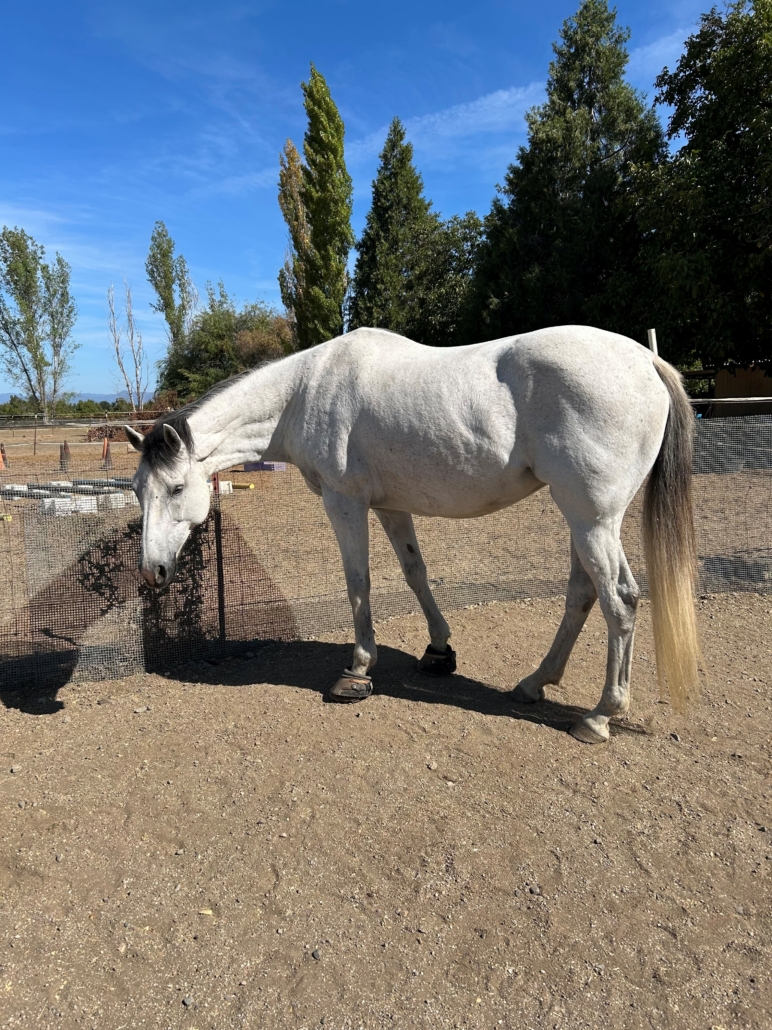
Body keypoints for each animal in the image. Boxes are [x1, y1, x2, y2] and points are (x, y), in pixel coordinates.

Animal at [127, 325, 700, 744]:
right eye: (137, 489)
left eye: (176, 488)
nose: (152, 572)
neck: (304, 392)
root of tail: (645, 361)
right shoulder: (391, 507)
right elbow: (414, 572)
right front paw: (439, 650)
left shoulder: (345, 503)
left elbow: (358, 582)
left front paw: (358, 671)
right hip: (581, 519)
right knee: (583, 595)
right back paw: (535, 684)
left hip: (593, 520)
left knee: (620, 601)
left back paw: (599, 716)